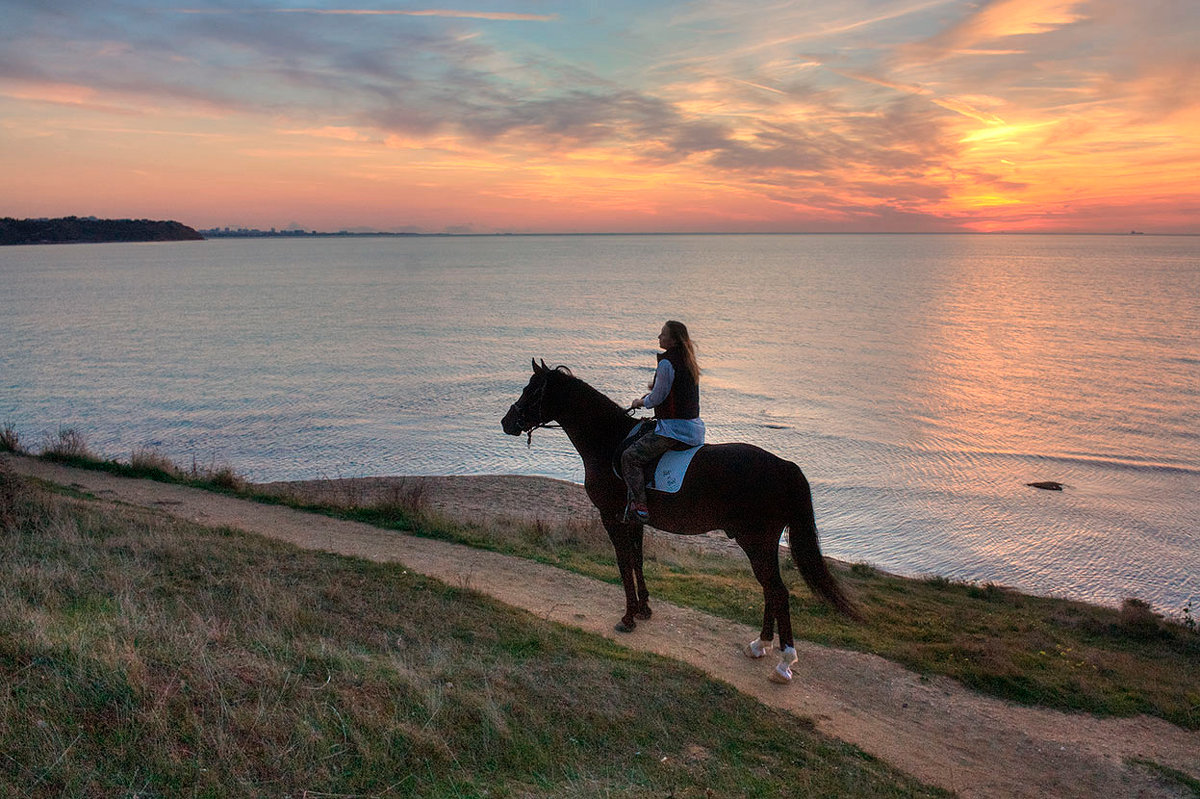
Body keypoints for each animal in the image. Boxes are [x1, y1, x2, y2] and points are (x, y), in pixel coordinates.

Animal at [501, 357, 859, 681]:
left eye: (530, 390)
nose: (507, 422)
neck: (609, 441)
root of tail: (784, 466)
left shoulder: (612, 519)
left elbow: (623, 565)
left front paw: (628, 618)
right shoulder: (634, 520)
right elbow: (638, 562)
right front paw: (644, 609)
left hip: (757, 542)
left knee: (778, 592)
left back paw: (784, 661)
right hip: (762, 544)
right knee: (770, 590)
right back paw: (760, 645)